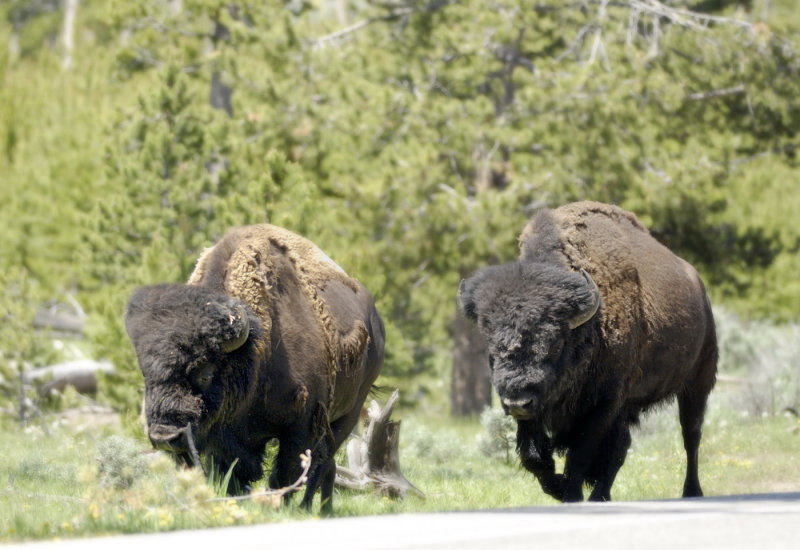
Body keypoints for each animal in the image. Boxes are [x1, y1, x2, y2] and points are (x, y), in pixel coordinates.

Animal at [125, 224, 385, 513]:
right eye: (147, 374)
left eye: (206, 373)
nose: (164, 436)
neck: (256, 353)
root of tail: (375, 320)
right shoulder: (228, 438)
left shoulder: (301, 424)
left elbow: (288, 471)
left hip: (347, 413)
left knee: (324, 463)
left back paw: (317, 510)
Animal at [459, 201, 717, 502]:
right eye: (492, 348)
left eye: (555, 343)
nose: (517, 402)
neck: (589, 327)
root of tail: (699, 286)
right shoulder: (537, 412)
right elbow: (534, 457)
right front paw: (559, 488)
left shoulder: (602, 404)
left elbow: (580, 454)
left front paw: (570, 494)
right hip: (630, 407)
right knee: (621, 449)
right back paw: (600, 495)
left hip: (697, 383)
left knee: (691, 435)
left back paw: (692, 491)